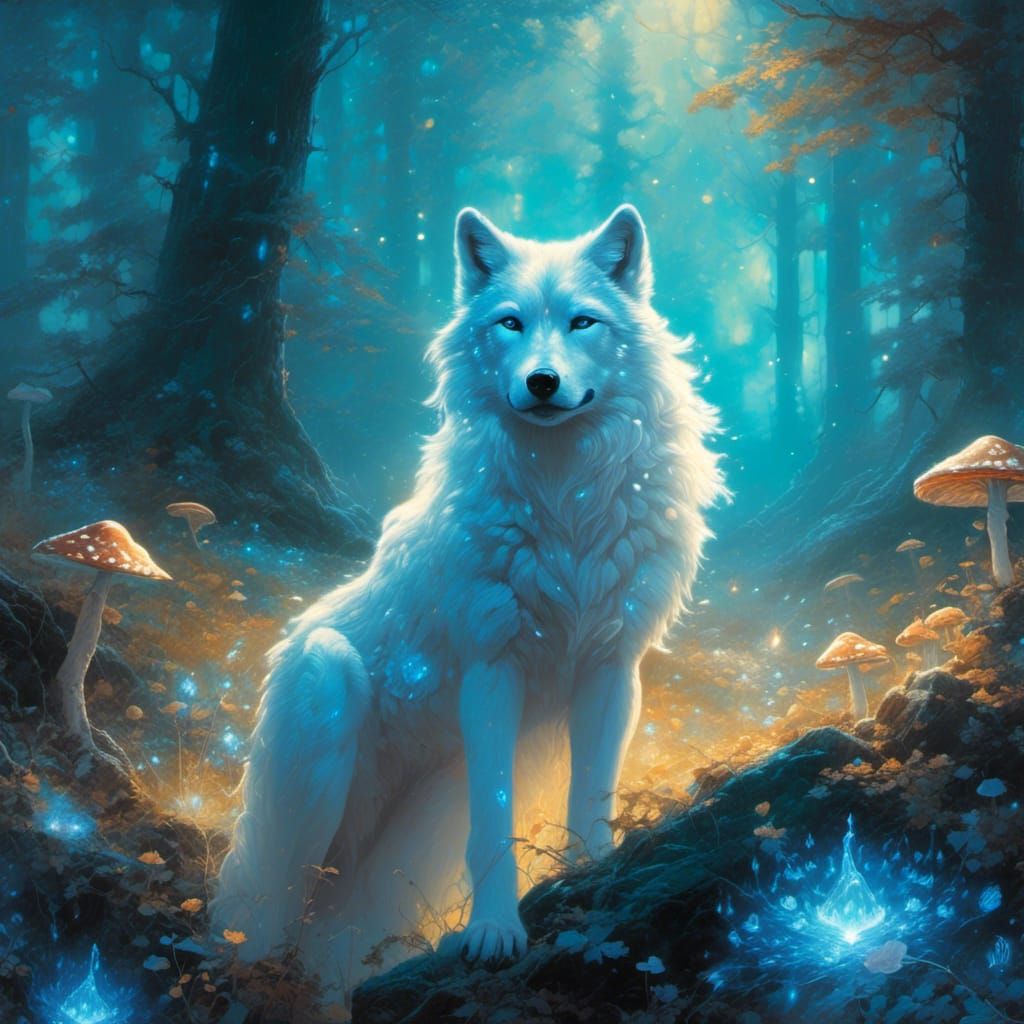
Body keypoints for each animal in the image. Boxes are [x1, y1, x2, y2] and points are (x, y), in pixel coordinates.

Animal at [210, 204, 724, 988]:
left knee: (330, 943)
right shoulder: (491, 671)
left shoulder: (612, 668)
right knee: (263, 918)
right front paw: (493, 933)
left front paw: (592, 885)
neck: (565, 500)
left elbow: (592, 796)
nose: (542, 381)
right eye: (511, 323)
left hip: (409, 839)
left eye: (582, 322)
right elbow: (495, 823)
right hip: (324, 697)